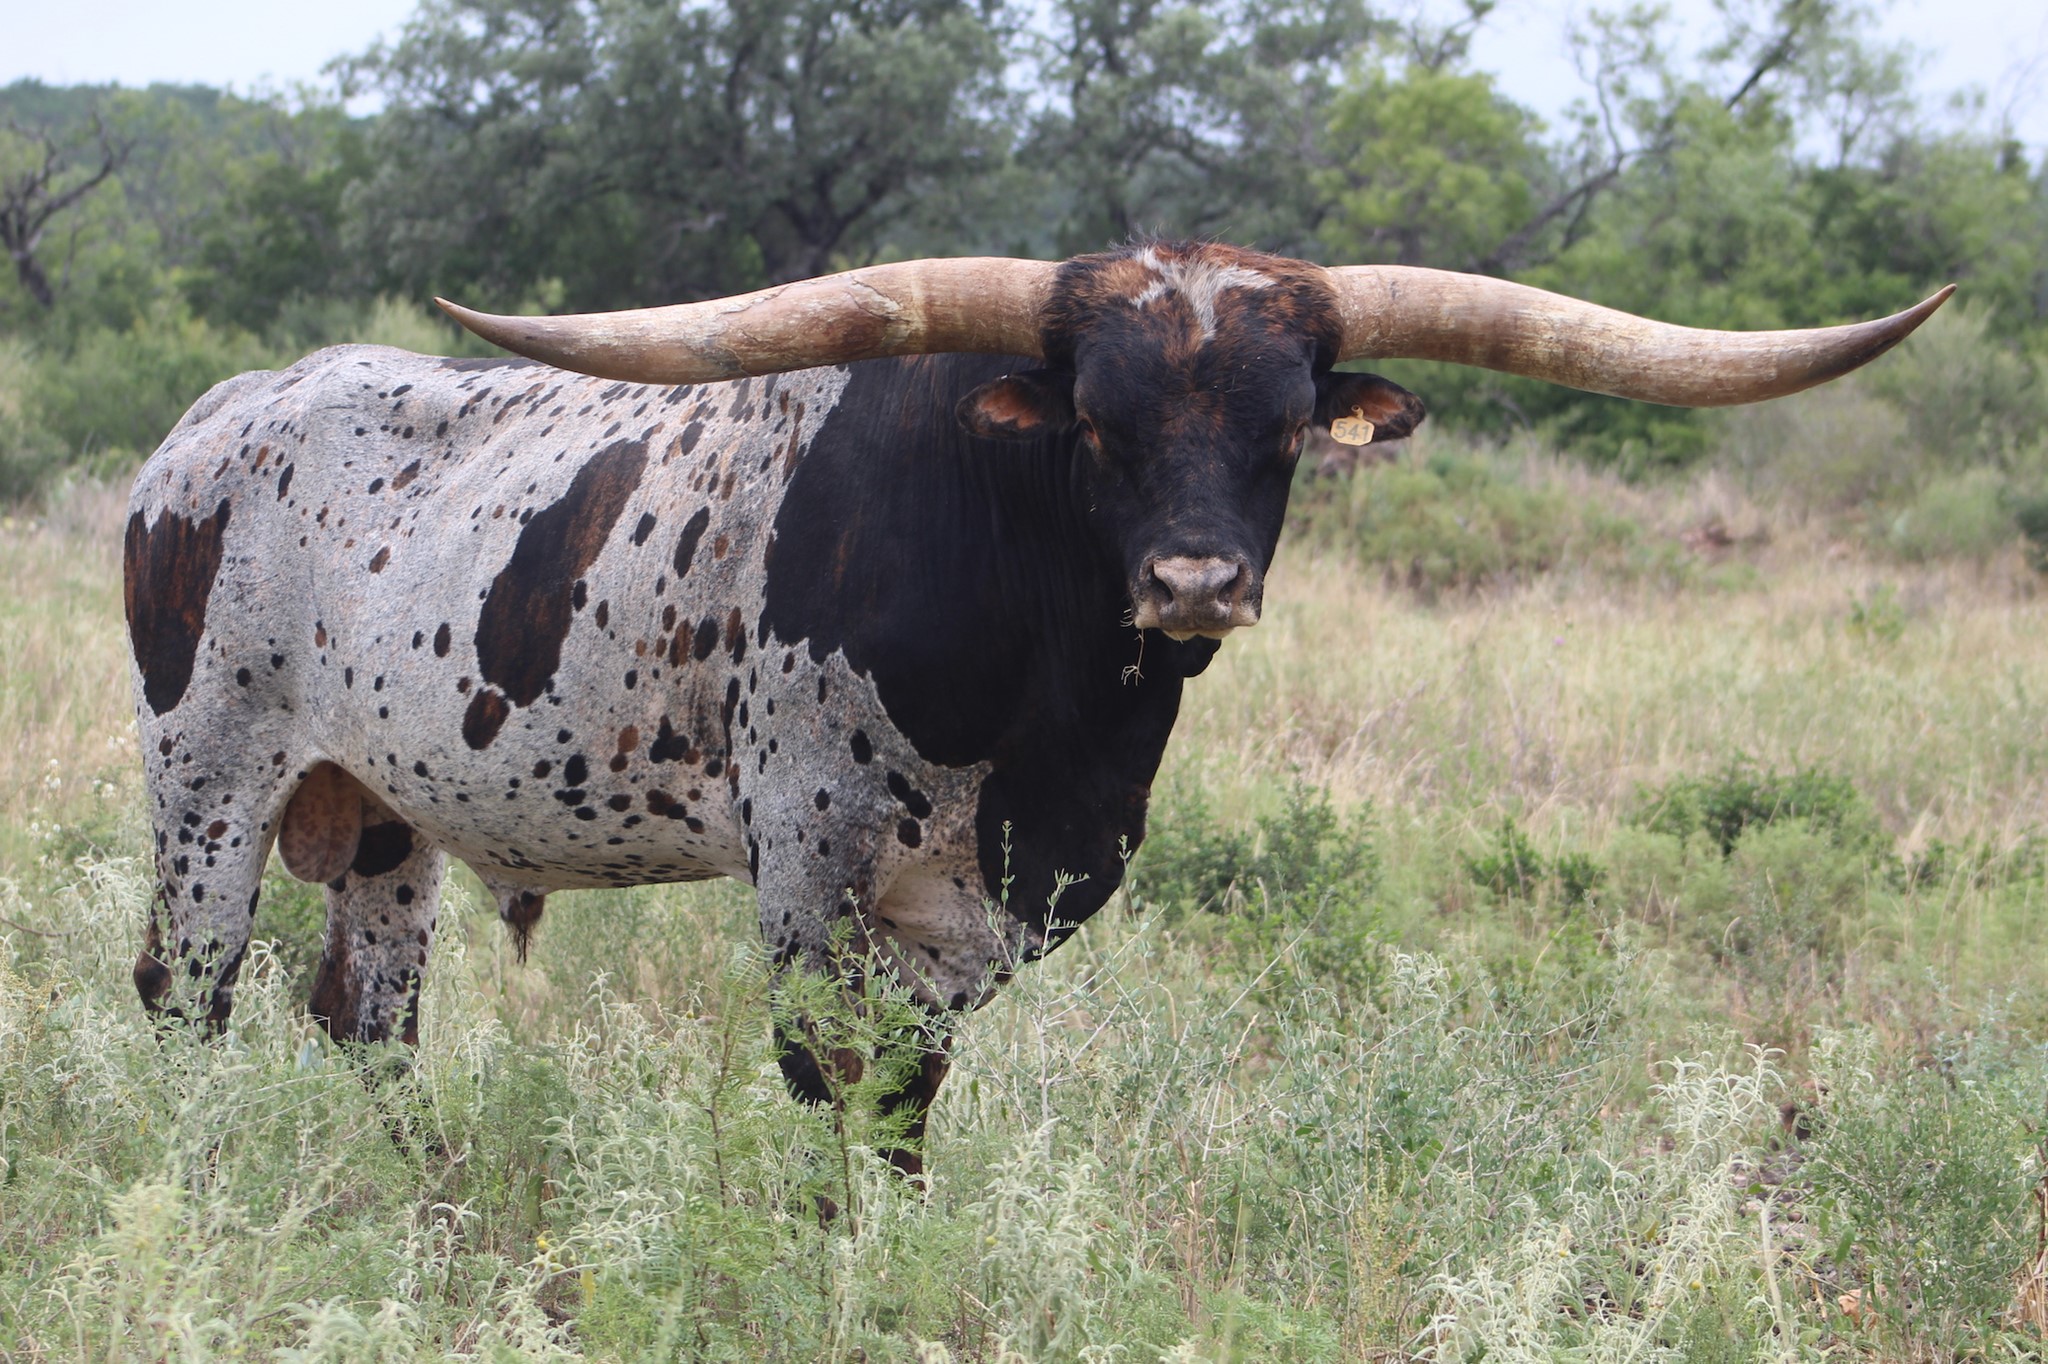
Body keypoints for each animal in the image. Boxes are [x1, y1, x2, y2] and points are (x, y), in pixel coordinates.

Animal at [126, 241, 1949, 1173]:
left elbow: (909, 1090)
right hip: (208, 783)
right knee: (184, 994)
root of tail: (213, 424)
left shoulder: (997, 894)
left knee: (365, 1020)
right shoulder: (809, 850)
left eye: (1286, 425)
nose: (1197, 580)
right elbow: (831, 1079)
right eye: (1097, 418)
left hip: (383, 819)